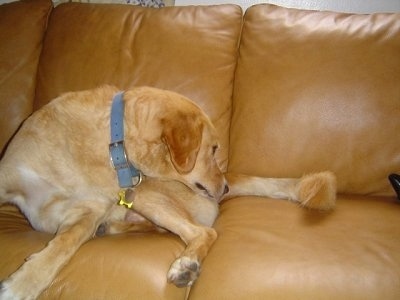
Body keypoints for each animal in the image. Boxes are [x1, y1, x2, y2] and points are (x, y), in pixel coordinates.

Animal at [0, 85, 338, 298]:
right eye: (212, 149)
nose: (225, 186)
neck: (111, 146)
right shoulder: (8, 176)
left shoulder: (88, 211)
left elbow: (64, 245)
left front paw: (21, 285)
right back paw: (113, 229)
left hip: (146, 195)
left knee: (204, 232)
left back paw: (186, 265)